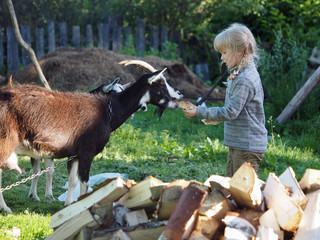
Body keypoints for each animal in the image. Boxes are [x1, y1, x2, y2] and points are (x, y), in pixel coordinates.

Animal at [0, 62, 182, 213]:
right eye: (160, 83)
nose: (179, 95)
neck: (107, 110)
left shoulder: (74, 154)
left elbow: (73, 181)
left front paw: (68, 205)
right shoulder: (87, 152)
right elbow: (85, 183)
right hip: (5, 142)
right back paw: (6, 209)